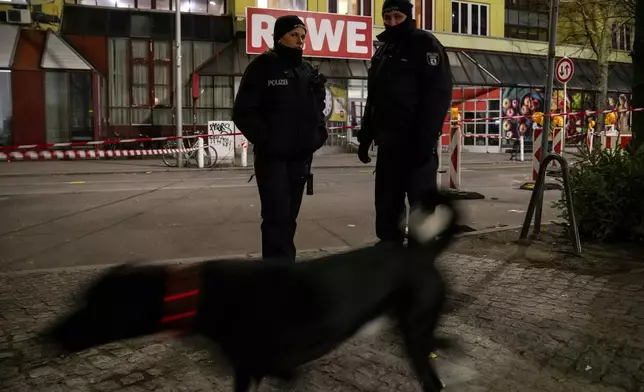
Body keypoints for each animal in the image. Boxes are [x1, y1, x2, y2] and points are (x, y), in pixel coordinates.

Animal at [42, 191, 460, 392]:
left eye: (98, 306)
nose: (47, 337)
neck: (200, 294)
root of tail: (422, 252)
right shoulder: (266, 369)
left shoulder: (256, 369)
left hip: (413, 332)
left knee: (430, 376)